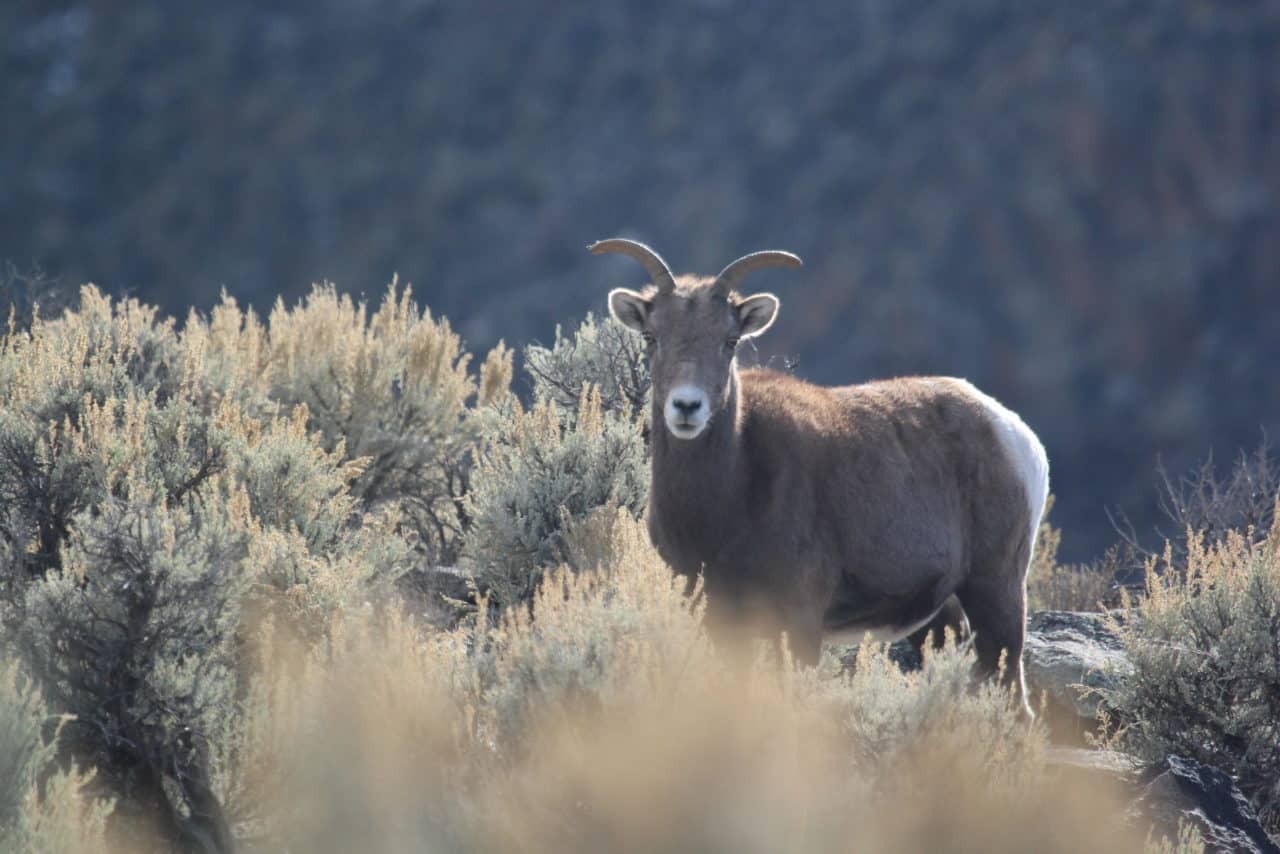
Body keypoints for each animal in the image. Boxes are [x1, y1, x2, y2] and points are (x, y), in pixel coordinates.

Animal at [588, 236, 1049, 711]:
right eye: (651, 336)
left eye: (729, 340)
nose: (686, 407)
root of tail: (1012, 432)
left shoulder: (800, 623)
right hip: (942, 618)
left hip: (997, 591)